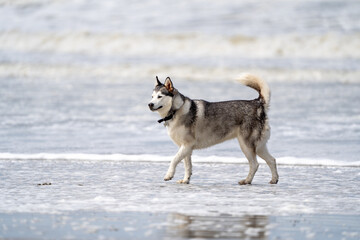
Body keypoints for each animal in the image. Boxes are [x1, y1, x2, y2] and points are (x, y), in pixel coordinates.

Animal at [148, 74, 280, 185]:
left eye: (160, 96)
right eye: (152, 96)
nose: (150, 104)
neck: (177, 110)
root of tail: (257, 103)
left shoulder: (186, 145)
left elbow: (174, 160)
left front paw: (169, 175)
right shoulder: (186, 148)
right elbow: (187, 166)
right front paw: (186, 180)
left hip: (246, 145)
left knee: (255, 164)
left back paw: (247, 181)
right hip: (259, 146)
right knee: (272, 160)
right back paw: (273, 180)